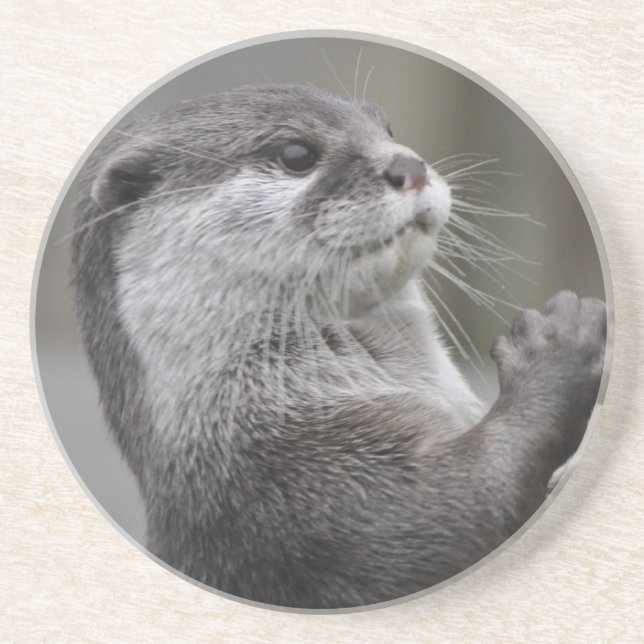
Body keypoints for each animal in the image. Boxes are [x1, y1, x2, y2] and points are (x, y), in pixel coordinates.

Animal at [70, 84, 606, 609]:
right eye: (296, 154)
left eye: (387, 128)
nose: (410, 166)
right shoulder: (299, 504)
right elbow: (465, 507)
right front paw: (559, 344)